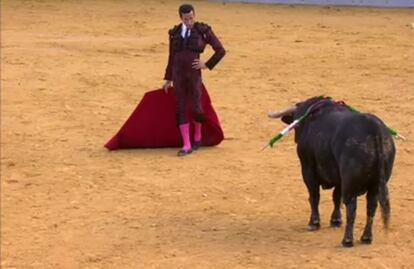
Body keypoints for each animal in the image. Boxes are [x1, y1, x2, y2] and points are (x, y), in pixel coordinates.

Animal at [266, 96, 396, 245]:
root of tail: (374, 130)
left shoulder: (308, 168)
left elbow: (314, 195)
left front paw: (314, 223)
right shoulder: (338, 178)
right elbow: (336, 197)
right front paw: (336, 220)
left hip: (349, 182)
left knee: (351, 206)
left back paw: (347, 240)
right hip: (376, 184)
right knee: (371, 206)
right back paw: (366, 237)